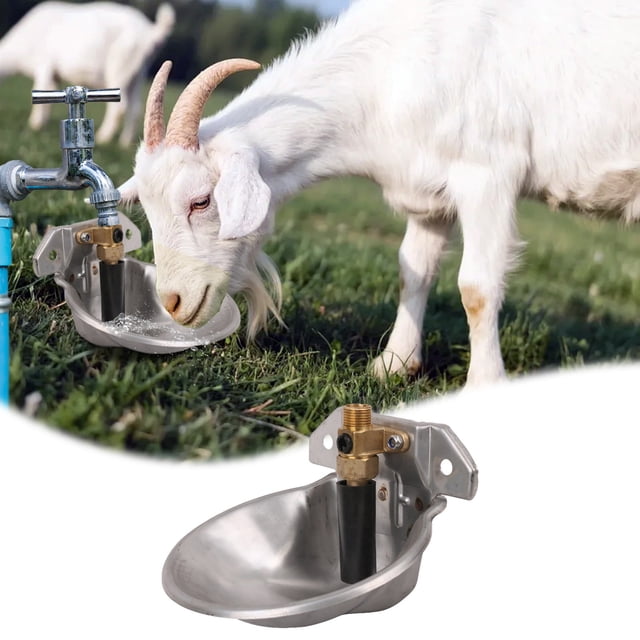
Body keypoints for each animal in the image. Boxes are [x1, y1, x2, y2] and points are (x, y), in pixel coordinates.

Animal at [0, 1, 175, 146]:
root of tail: (151, 32)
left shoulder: (44, 64)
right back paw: (125, 143)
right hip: (139, 73)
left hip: (121, 66)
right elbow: (49, 97)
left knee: (120, 107)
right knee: (137, 107)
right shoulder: (54, 75)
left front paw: (34, 126)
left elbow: (40, 88)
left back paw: (104, 137)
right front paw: (43, 122)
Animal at [119, 0, 640, 386]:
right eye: (148, 208)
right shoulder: (428, 189)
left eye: (201, 201)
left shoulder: (487, 174)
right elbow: (414, 272)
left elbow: (476, 288)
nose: (173, 303)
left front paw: (484, 383)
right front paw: (394, 364)